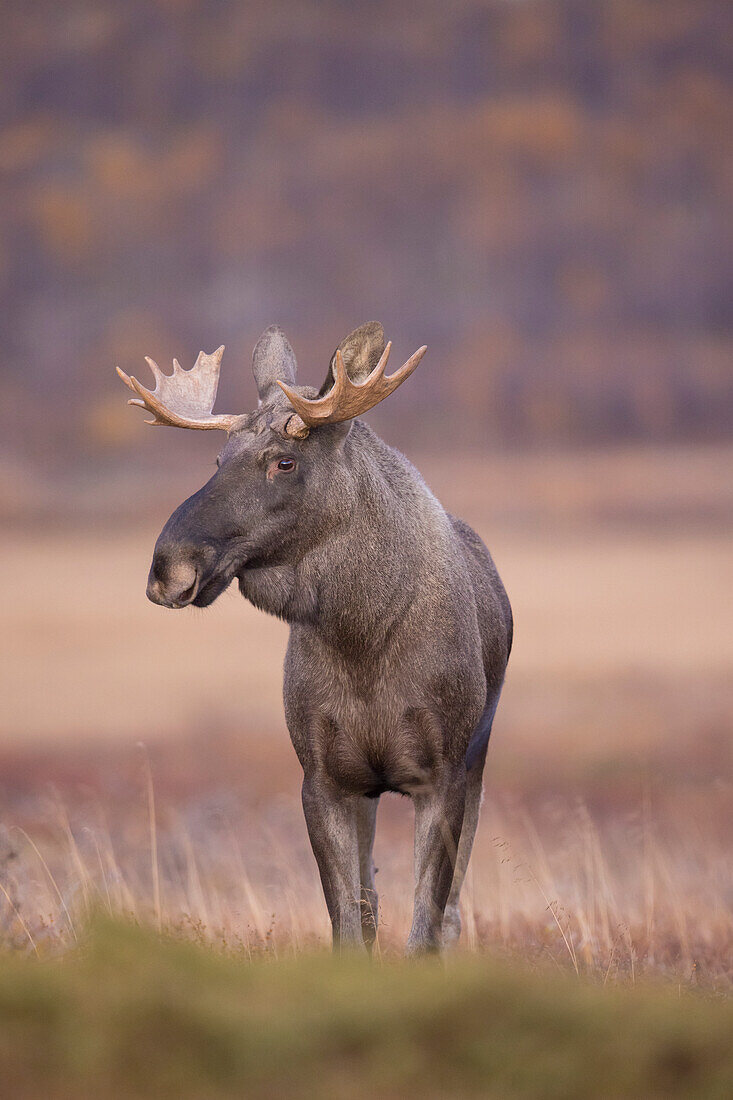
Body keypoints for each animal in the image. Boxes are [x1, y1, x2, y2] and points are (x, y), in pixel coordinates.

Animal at [118, 323, 508, 954]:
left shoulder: (443, 775)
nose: (168, 568)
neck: (362, 634)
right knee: (373, 903)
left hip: (476, 763)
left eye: (285, 461)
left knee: (449, 913)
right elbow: (349, 928)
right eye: (218, 458)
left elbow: (424, 930)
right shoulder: (324, 779)